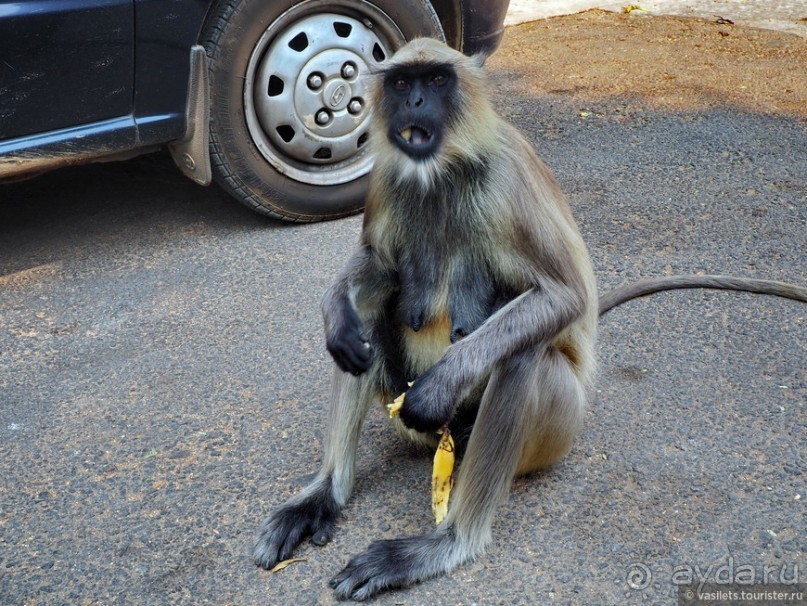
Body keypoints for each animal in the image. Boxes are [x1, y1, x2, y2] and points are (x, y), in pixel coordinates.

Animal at [254, 39, 807, 604]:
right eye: (403, 83)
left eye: (436, 81)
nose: (414, 104)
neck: (443, 171)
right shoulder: (386, 178)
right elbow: (374, 270)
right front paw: (333, 311)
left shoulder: (506, 174)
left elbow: (565, 296)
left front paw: (441, 384)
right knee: (363, 319)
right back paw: (325, 493)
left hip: (554, 428)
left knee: (523, 354)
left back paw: (447, 543)